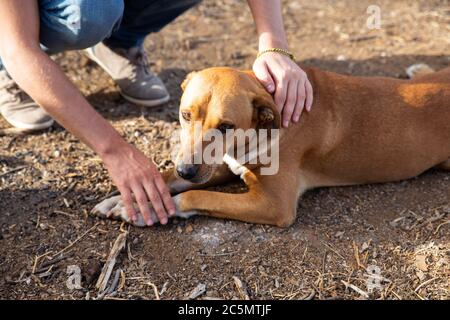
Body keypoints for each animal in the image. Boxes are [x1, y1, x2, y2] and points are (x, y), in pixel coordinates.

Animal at [91, 65, 450, 226]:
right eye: (184, 114)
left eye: (226, 126)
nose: (187, 169)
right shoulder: (222, 164)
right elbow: (167, 178)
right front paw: (127, 199)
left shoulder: (273, 204)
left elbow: (197, 195)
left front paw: (151, 209)